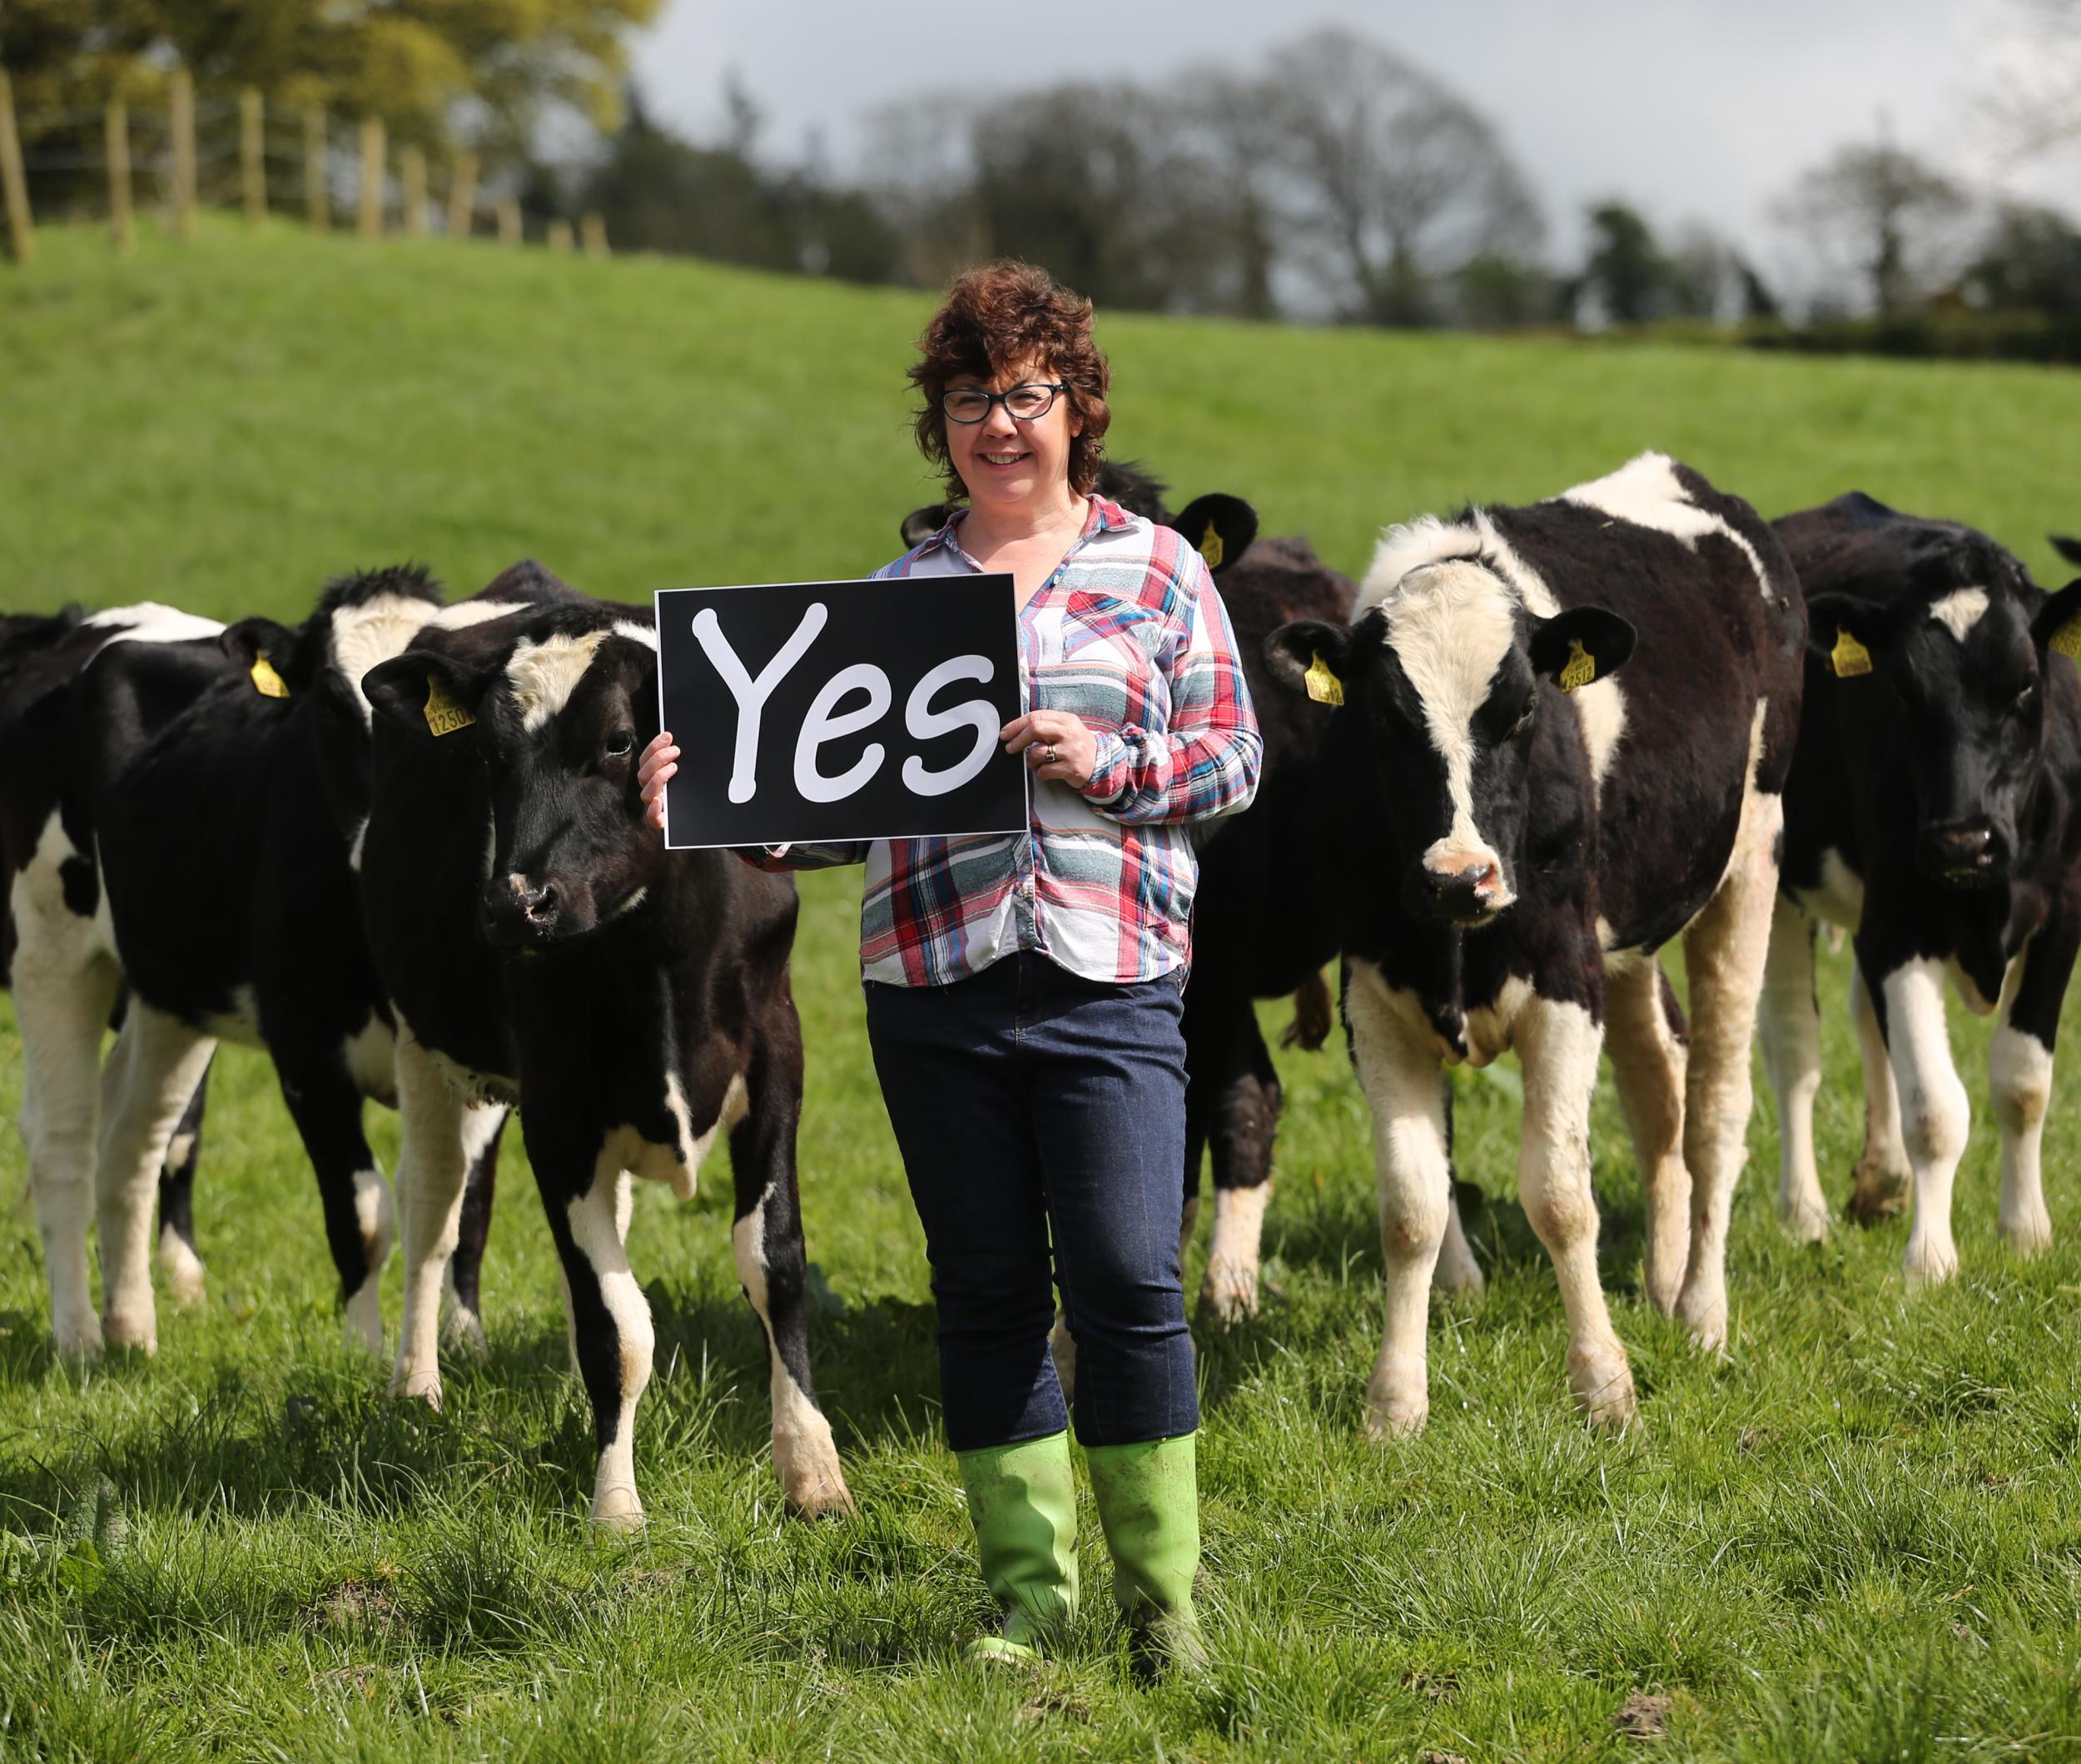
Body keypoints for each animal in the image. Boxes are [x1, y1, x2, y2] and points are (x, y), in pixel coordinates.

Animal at [360, 578, 853, 1531]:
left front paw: (814, 1472)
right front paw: (615, 1505)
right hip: (421, 1041)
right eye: (491, 755)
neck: (663, 955)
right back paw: (415, 1386)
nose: (515, 904)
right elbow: (616, 1325)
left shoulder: (780, 1058)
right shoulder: (558, 1113)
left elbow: (772, 1261)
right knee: (433, 1211)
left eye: (620, 741)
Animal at [1257, 451, 1815, 1431]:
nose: (1459, 876)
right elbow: (1412, 1204)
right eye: (1387, 719)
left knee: (1714, 1108)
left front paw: (1604, 1386)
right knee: (1657, 1093)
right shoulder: (1376, 993)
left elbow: (1560, 1196)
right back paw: (1664, 1279)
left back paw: (1702, 1312)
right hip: (1624, 940)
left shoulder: (1563, 981)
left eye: (1519, 711)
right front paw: (1394, 1404)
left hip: (1750, 862)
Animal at [1756, 494, 2081, 1281]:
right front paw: (1930, 1260)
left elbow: (2023, 1083)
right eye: (1902, 689)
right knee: (1795, 1046)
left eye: (2026, 683)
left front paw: (2026, 1232)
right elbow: (1935, 1106)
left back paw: (1882, 1179)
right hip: (1779, 882)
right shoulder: (1899, 925)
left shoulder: (2062, 918)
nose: (1963, 839)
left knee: (1863, 1022)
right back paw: (1804, 1213)